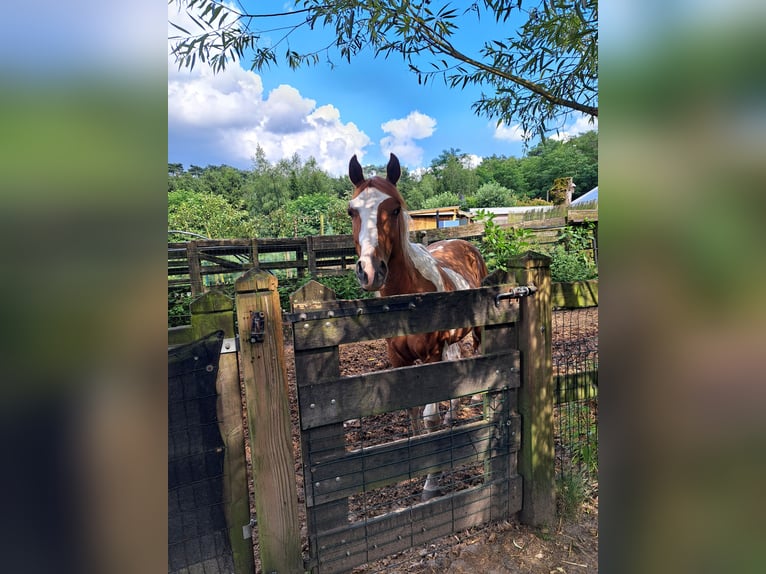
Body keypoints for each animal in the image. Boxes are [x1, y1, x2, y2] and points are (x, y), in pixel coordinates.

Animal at [350, 155, 492, 502]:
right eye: (351, 210)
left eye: (395, 209)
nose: (369, 271)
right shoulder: (398, 359)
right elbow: (412, 410)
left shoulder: (430, 356)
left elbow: (429, 417)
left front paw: (431, 482)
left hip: (476, 331)